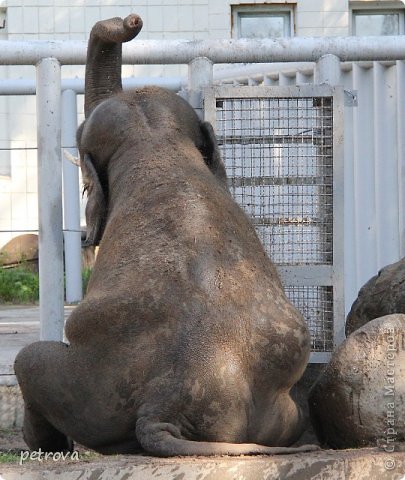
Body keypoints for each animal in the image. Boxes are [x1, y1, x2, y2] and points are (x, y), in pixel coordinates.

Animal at [13, 14, 316, 458]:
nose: (131, 20)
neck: (154, 140)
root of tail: (164, 401)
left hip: (92, 388)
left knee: (28, 359)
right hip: (277, 412)